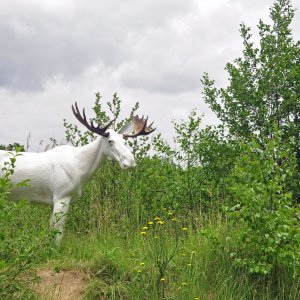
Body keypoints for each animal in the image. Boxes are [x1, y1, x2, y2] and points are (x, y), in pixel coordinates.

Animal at [0, 102, 155, 244]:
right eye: (110, 141)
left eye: (125, 140)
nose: (130, 161)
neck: (82, 170)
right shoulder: (62, 196)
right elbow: (58, 234)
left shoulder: (53, 201)